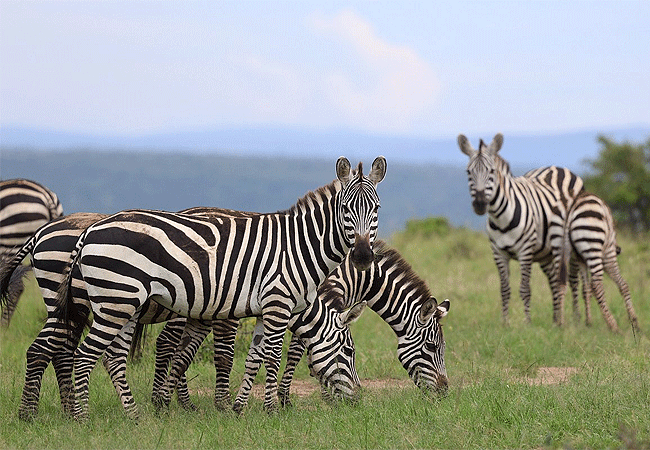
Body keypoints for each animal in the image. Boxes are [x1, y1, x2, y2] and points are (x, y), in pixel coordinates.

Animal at [55, 157, 384, 418]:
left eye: (377, 208)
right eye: (349, 351)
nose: (362, 256)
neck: (298, 247)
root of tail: (90, 230)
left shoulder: (264, 310)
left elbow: (253, 358)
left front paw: (239, 408)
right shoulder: (278, 305)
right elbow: (272, 357)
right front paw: (271, 410)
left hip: (124, 305)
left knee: (113, 358)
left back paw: (133, 416)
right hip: (115, 301)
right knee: (83, 356)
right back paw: (84, 418)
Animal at [456, 132, 584, 326]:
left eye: (491, 171)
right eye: (468, 172)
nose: (479, 204)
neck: (501, 218)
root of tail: (558, 167)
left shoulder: (525, 251)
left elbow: (525, 289)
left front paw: (527, 322)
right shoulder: (498, 253)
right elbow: (504, 289)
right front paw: (505, 323)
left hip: (571, 242)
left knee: (573, 279)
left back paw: (576, 317)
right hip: (545, 252)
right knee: (554, 281)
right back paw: (555, 319)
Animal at [564, 188, 636, 332]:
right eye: (615, 229)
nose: (619, 250)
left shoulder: (580, 259)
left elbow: (585, 289)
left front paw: (587, 321)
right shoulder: (606, 254)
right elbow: (623, 284)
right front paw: (634, 321)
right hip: (594, 247)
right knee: (597, 285)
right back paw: (613, 326)